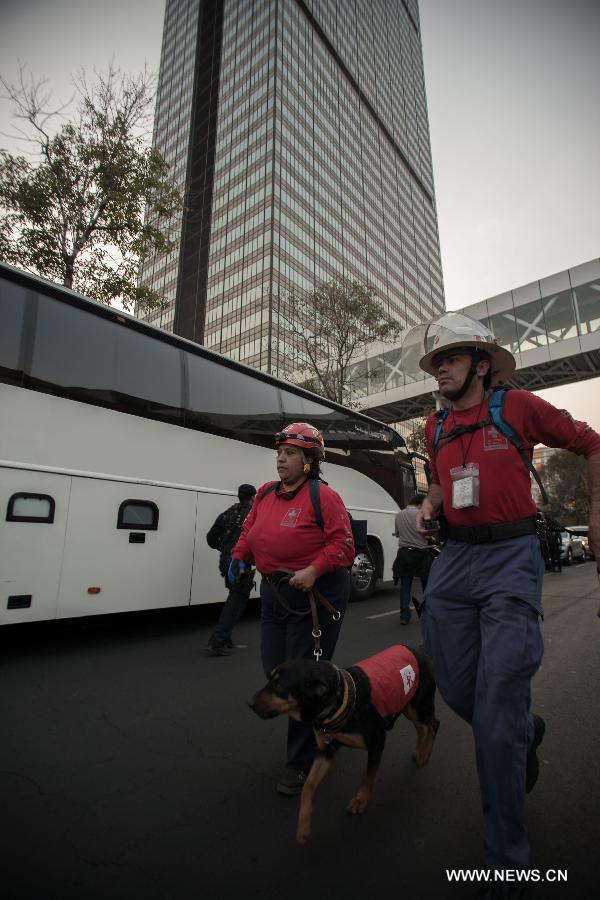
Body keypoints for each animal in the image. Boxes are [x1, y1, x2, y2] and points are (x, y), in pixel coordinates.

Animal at [250, 640, 440, 844]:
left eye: (278, 684)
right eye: (270, 679)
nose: (249, 703)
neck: (337, 703)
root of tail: (420, 649)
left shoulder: (377, 743)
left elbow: (368, 775)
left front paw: (360, 801)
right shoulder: (326, 751)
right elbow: (308, 786)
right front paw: (303, 827)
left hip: (420, 704)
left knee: (433, 724)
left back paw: (425, 755)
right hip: (407, 704)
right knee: (421, 727)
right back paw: (420, 752)